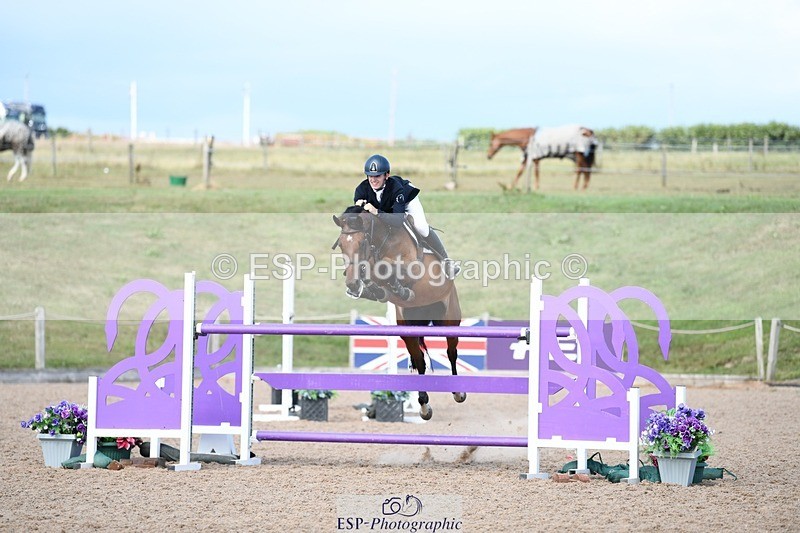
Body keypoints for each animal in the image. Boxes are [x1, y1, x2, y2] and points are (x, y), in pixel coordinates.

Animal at [332, 206, 464, 421]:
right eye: (342, 245)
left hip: (449, 319)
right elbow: (374, 275)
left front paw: (399, 288)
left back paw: (458, 392)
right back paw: (424, 406)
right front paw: (370, 288)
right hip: (408, 327)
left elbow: (388, 267)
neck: (382, 242)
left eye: (361, 244)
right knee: (420, 360)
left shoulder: (412, 268)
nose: (351, 283)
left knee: (451, 352)